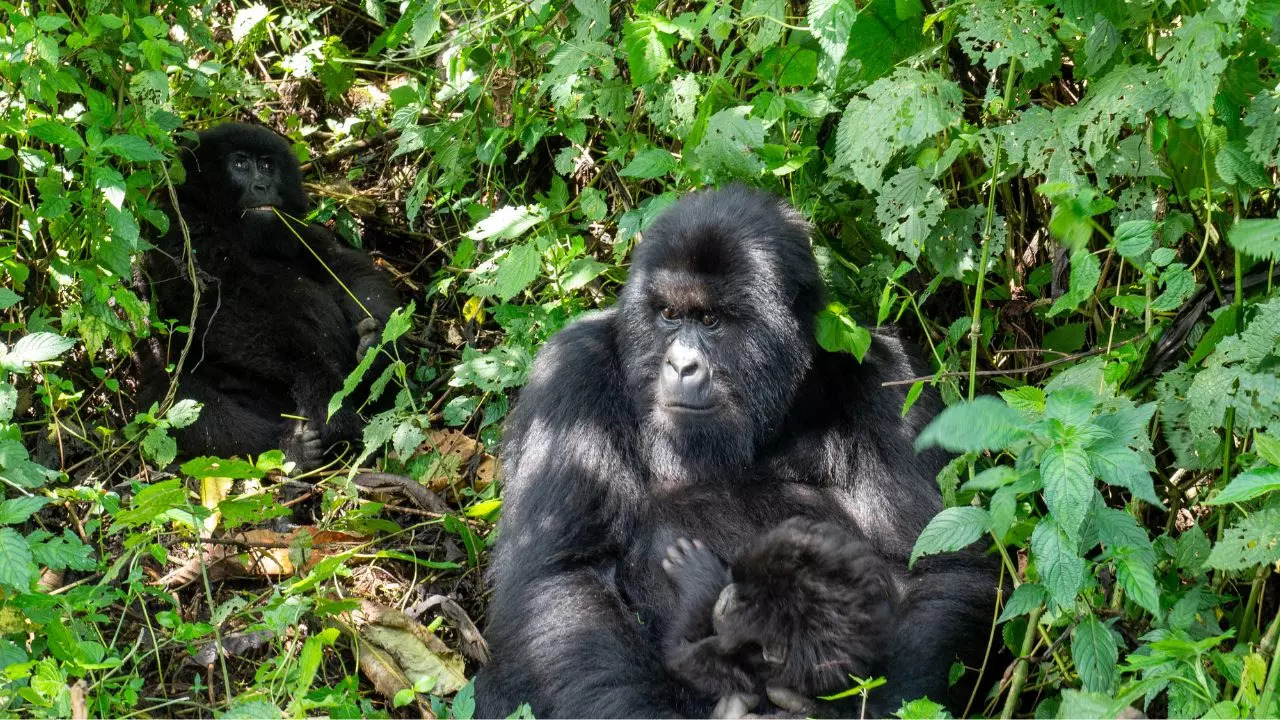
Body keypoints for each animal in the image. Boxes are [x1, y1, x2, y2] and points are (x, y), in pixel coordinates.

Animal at [136, 122, 396, 466]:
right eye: (240, 164)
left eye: (268, 166)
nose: (263, 186)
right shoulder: (182, 233)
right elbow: (220, 308)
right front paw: (318, 382)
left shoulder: (301, 230)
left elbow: (348, 269)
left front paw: (377, 348)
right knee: (175, 398)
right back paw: (288, 447)